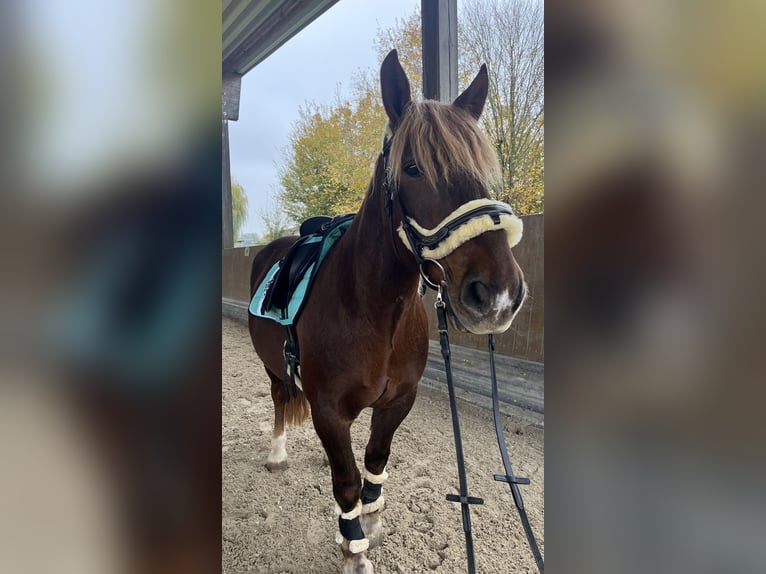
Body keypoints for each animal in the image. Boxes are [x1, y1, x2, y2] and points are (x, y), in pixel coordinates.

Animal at [250, 50, 528, 574]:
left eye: (486, 171)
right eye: (414, 168)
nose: (499, 294)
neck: (374, 311)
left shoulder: (398, 401)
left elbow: (375, 463)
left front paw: (372, 523)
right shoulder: (328, 409)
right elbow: (346, 483)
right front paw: (353, 550)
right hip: (275, 368)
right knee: (279, 398)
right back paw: (277, 453)